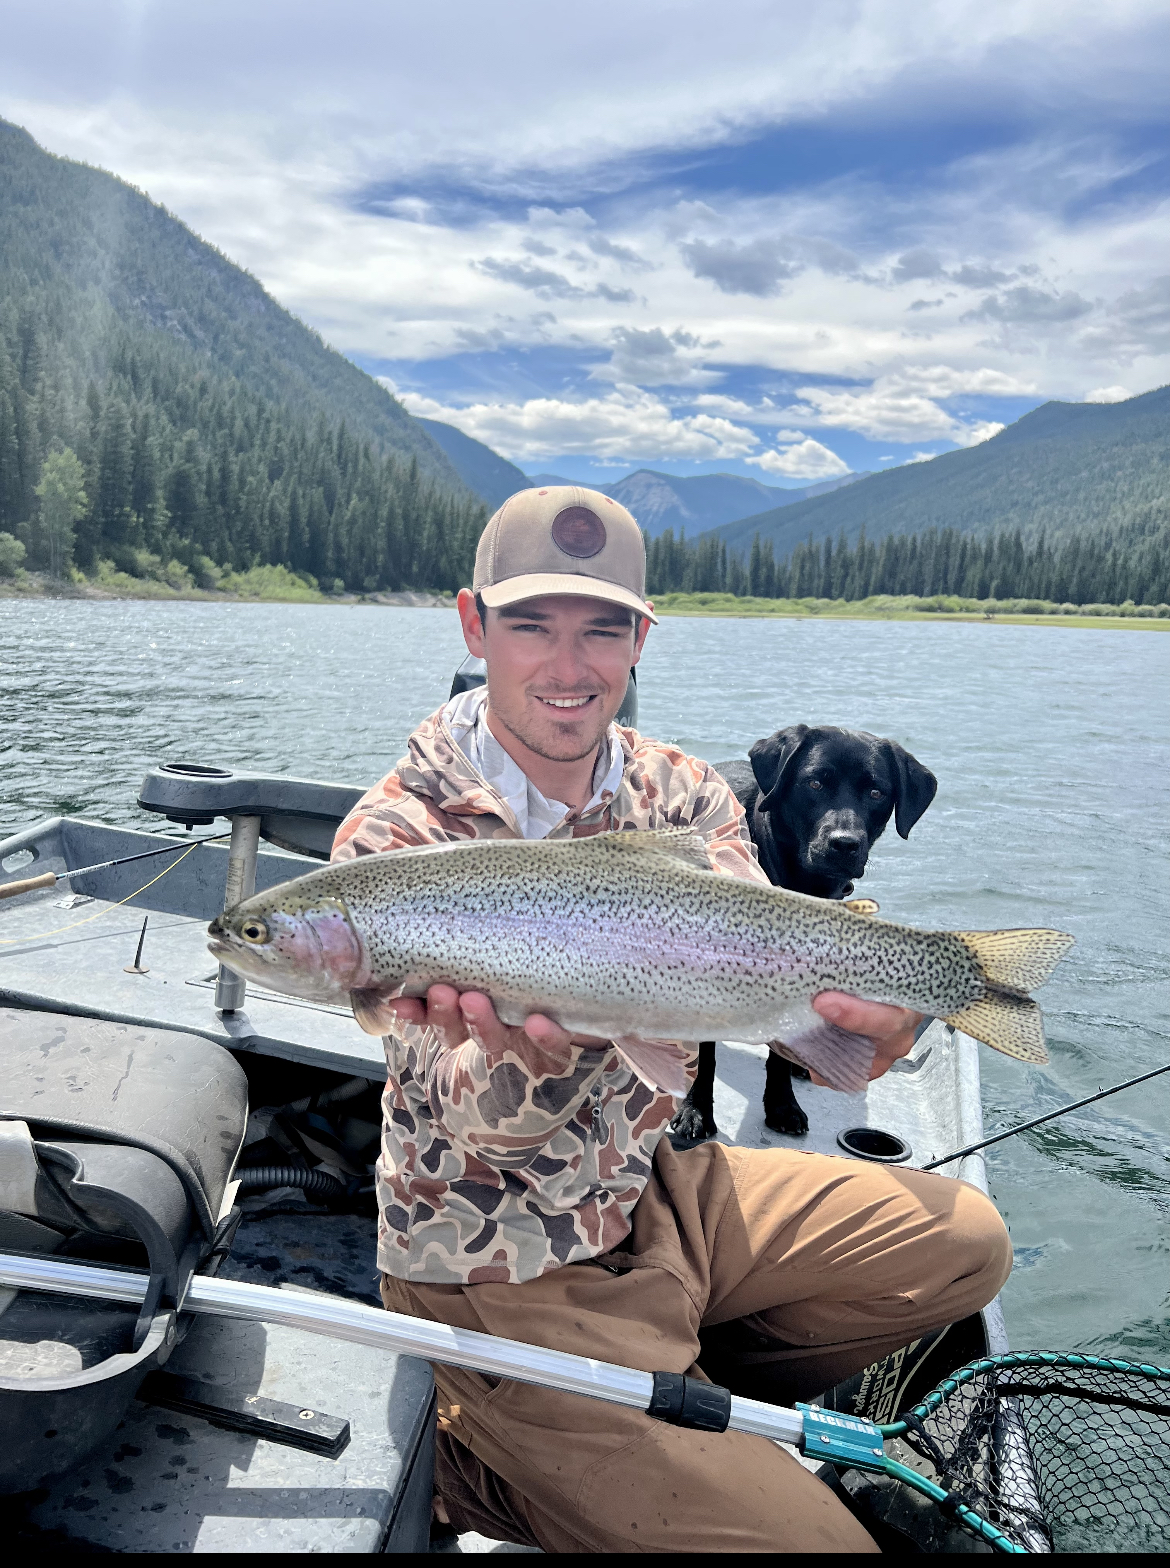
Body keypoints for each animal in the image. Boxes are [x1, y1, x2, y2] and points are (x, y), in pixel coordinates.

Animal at [671, 721, 934, 1141]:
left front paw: (782, 1104)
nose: (844, 844)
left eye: (876, 792)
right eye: (814, 783)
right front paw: (695, 1110)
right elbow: (705, 1054)